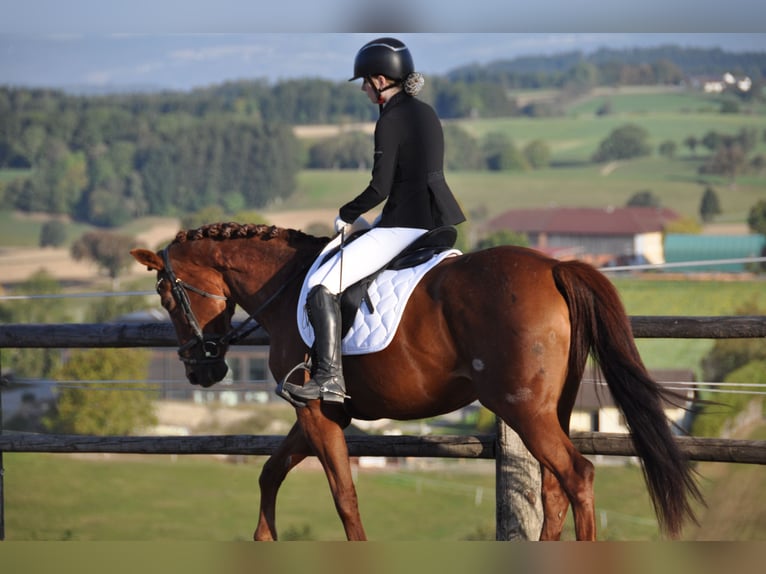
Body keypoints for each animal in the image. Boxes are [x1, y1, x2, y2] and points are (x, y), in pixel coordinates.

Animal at [130, 221, 703, 541]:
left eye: (166, 295)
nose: (201, 370)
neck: (287, 286)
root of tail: (554, 266)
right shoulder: (321, 411)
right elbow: (270, 474)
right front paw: (263, 542)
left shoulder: (315, 410)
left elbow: (343, 494)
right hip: (549, 408)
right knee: (555, 487)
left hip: (522, 408)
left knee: (577, 476)